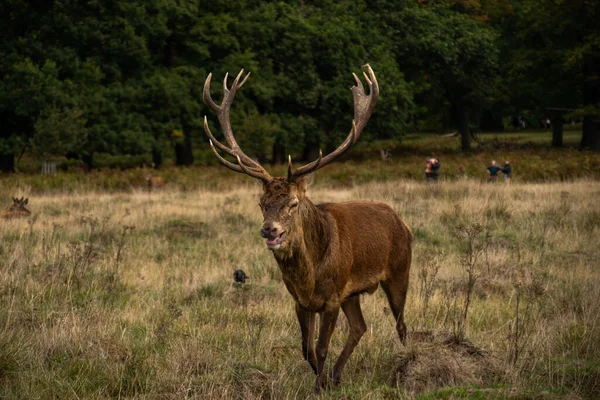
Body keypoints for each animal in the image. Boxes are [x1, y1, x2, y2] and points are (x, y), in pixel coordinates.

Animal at [203, 65, 412, 390]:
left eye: (293, 203)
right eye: (261, 202)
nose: (270, 230)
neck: (310, 277)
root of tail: (401, 222)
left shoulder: (332, 297)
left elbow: (322, 347)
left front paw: (319, 387)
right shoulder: (301, 301)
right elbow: (306, 348)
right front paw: (322, 379)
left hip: (399, 271)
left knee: (401, 324)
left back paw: (404, 365)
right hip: (353, 292)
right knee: (360, 327)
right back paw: (338, 375)